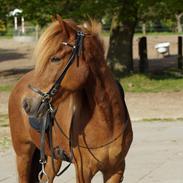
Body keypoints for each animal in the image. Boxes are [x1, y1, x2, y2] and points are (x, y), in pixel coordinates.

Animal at [8, 16, 133, 182]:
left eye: (55, 58)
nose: (27, 103)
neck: (108, 122)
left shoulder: (116, 170)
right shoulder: (83, 171)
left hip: (52, 157)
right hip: (23, 154)